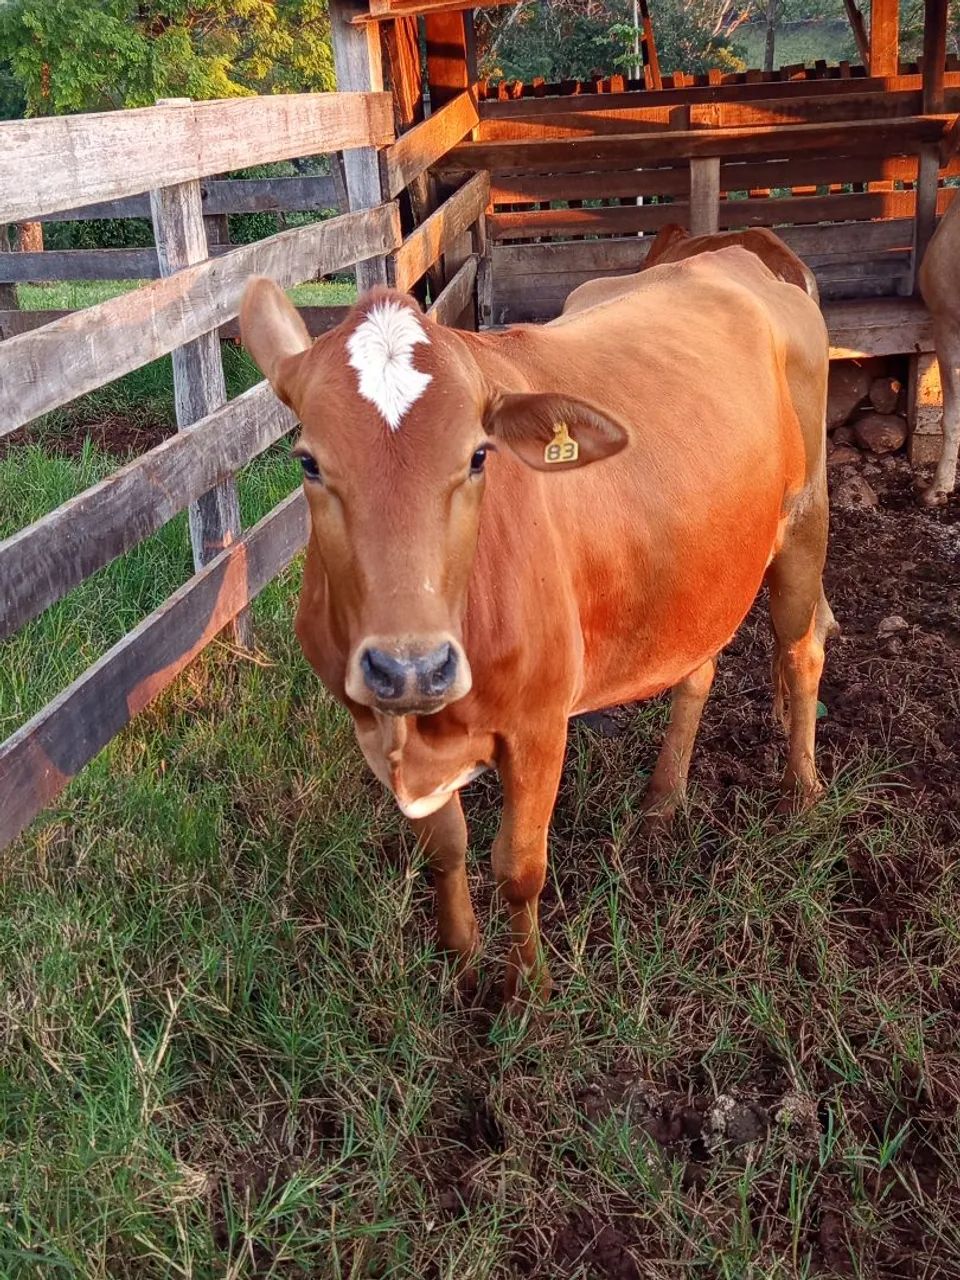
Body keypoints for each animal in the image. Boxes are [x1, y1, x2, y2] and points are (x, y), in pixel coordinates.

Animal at [240, 245, 835, 1004]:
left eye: (478, 455)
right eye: (309, 462)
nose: (410, 668)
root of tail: (735, 256)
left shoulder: (540, 724)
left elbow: (518, 869)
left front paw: (528, 992)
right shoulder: (377, 726)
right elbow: (445, 852)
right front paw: (463, 966)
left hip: (804, 524)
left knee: (802, 648)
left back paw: (802, 790)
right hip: (703, 571)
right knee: (697, 668)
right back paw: (662, 800)